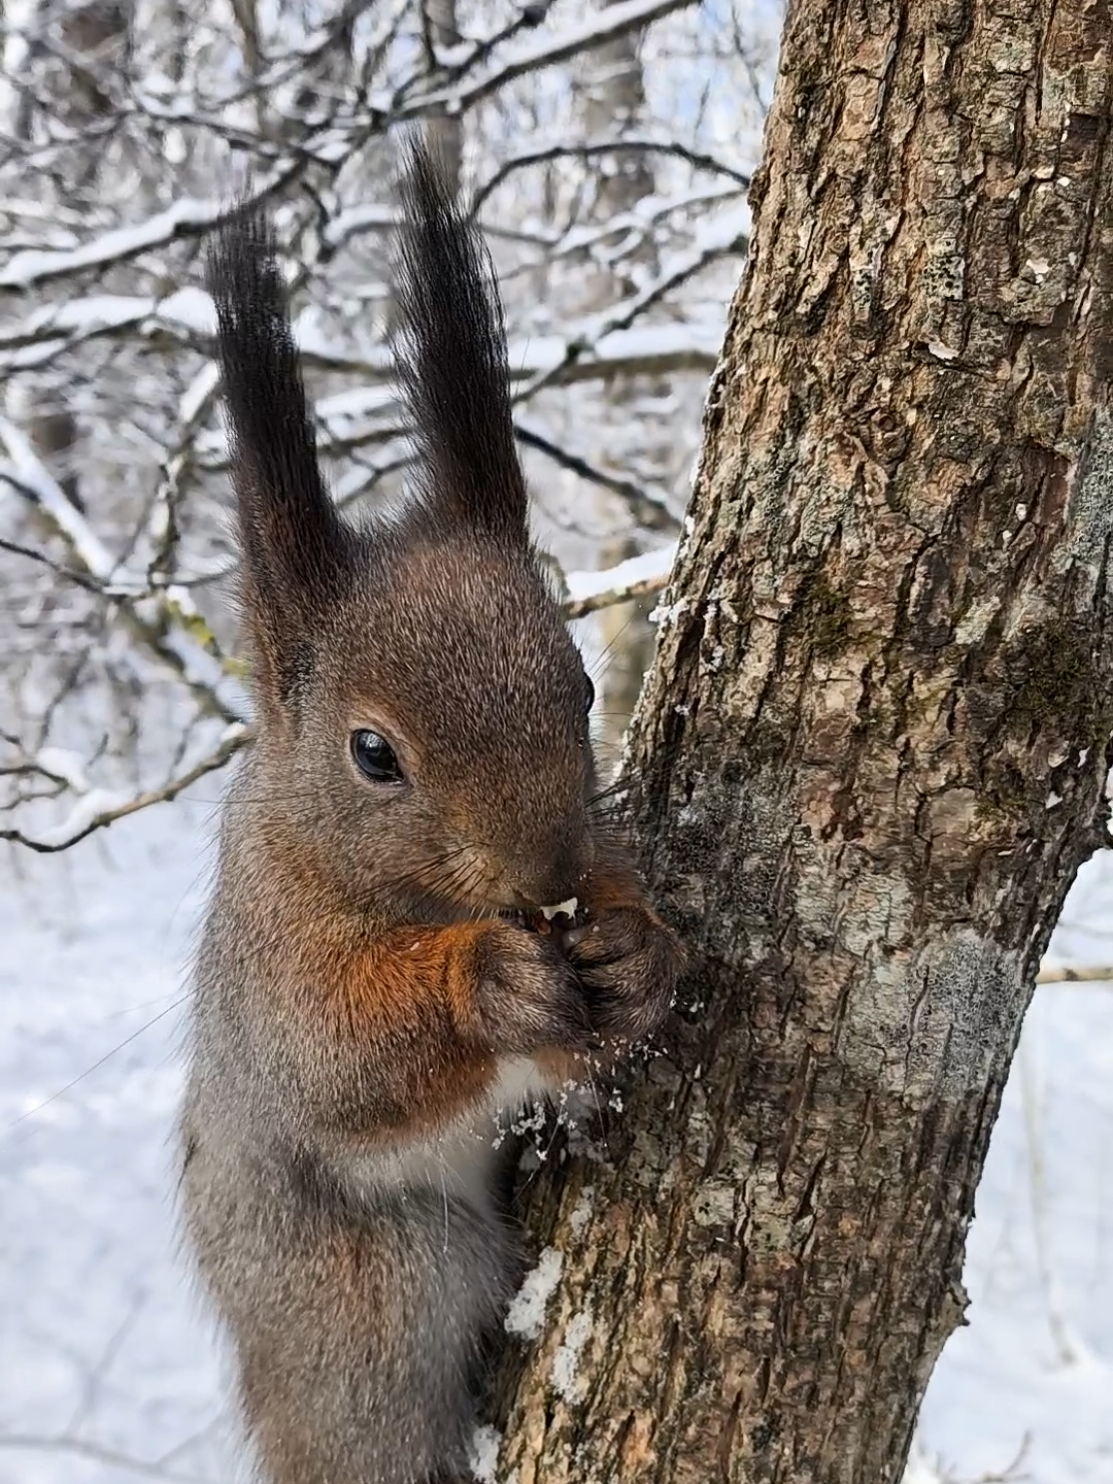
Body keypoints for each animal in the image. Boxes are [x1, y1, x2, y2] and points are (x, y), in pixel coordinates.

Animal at [178, 136, 686, 1484]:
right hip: (377, 1289)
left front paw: (636, 947)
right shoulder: (270, 962)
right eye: (372, 753)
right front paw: (488, 982)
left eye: (584, 684)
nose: (544, 871)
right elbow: (339, 1055)